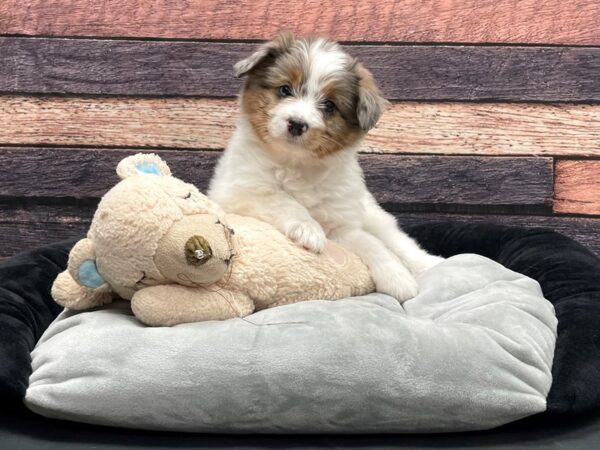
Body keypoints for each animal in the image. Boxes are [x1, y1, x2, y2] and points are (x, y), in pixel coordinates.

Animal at [209, 34, 442, 302]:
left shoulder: (341, 226)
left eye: (329, 105)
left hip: (373, 215)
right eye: (285, 90)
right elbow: (282, 200)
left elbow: (371, 244)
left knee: (396, 240)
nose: (297, 124)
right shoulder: (240, 193)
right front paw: (309, 230)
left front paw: (397, 277)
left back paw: (428, 263)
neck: (296, 163)